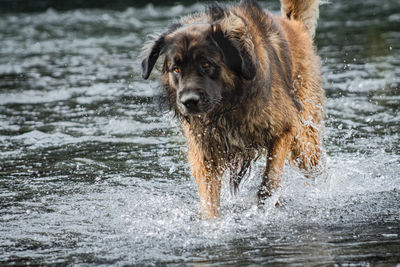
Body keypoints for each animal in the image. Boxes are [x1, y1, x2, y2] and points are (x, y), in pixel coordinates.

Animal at [141, 0, 324, 220]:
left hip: (304, 142)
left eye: (206, 64)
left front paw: (262, 208)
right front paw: (212, 223)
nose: (189, 101)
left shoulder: (284, 129)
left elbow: (270, 180)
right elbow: (209, 200)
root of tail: (294, 26)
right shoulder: (204, 152)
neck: (228, 107)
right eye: (176, 69)